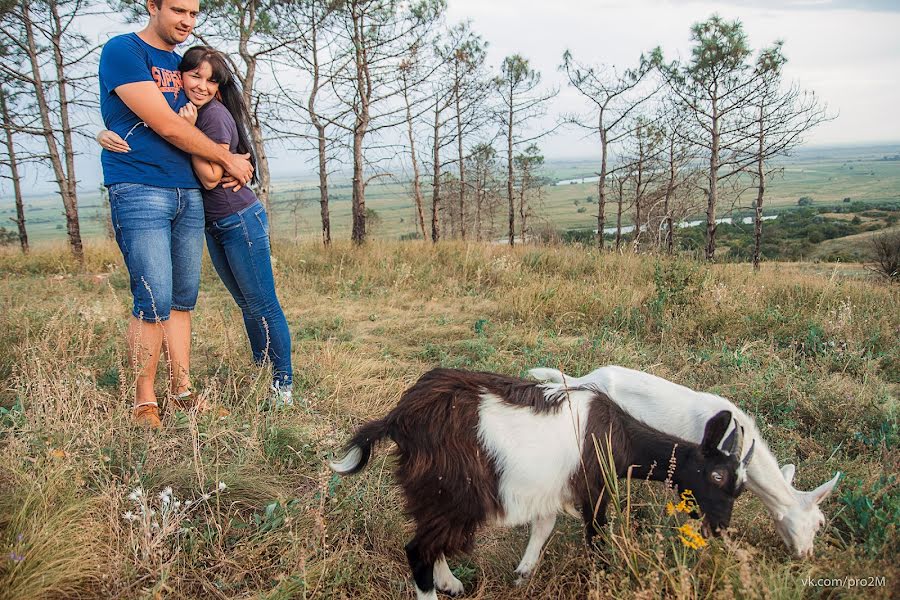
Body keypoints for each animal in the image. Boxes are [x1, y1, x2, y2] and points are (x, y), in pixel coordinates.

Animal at [326, 368, 748, 596]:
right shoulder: (594, 488)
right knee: (417, 549)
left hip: (436, 489)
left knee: (431, 541)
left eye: (740, 488)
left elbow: (543, 527)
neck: (619, 437)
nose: (720, 529)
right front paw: (603, 578)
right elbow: (596, 536)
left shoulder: (552, 488)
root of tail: (399, 418)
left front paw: (523, 574)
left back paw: (451, 583)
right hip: (456, 488)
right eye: (717, 476)